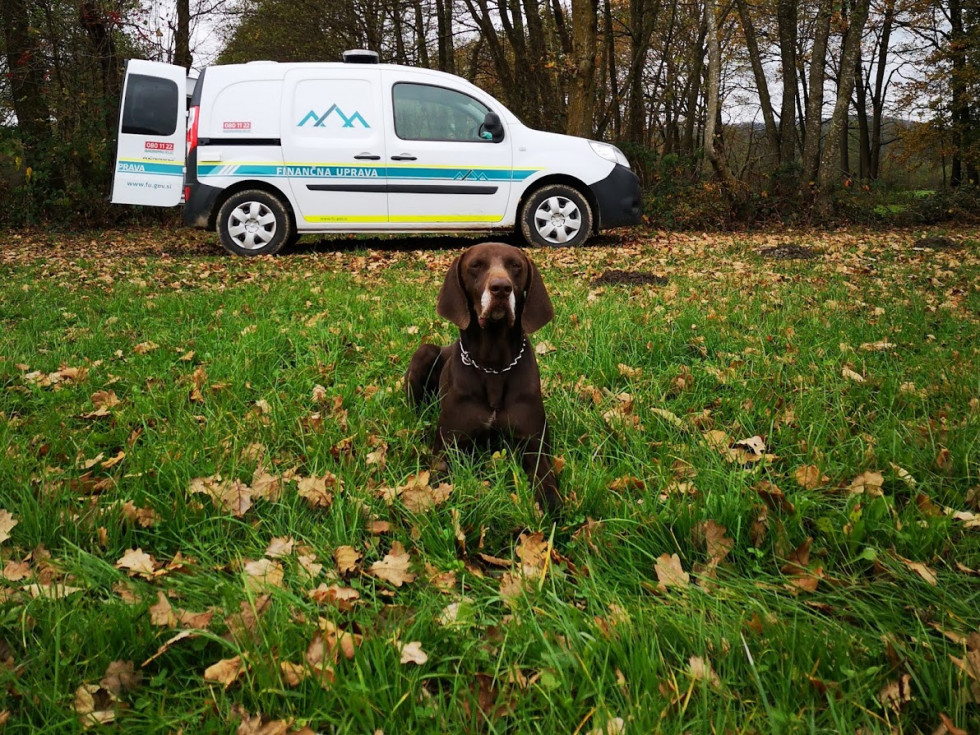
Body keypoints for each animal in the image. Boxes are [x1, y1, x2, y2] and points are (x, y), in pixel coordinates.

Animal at [406, 242, 560, 512]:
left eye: (515, 265)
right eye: (476, 265)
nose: (501, 288)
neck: (493, 366)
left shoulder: (535, 446)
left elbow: (549, 489)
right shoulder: (449, 445)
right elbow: (437, 483)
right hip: (424, 351)